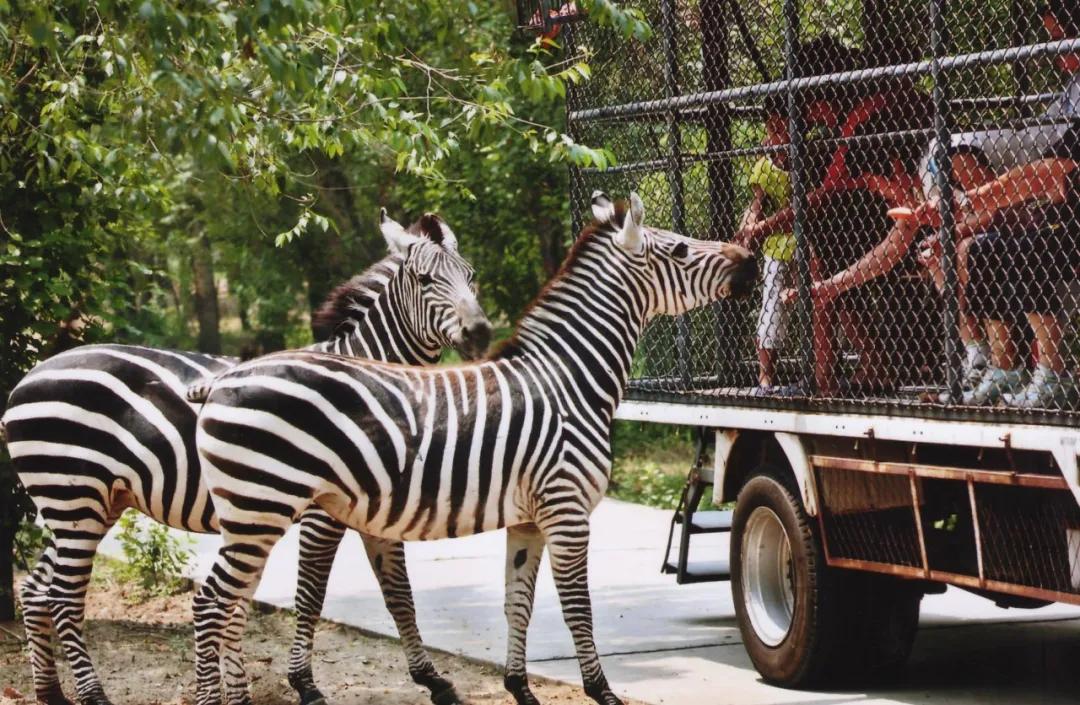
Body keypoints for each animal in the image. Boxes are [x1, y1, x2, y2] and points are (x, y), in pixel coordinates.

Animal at [0, 210, 490, 705]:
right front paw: (304, 683)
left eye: (471, 276)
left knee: (38, 591)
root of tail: (27, 378)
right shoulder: (320, 515)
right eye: (425, 280)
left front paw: (435, 680)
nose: (481, 332)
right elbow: (311, 594)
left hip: (87, 505)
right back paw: (93, 695)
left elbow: (399, 594)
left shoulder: (375, 508)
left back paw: (51, 692)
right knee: (63, 597)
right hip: (74, 498)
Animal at [190, 192, 756, 703]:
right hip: (262, 507)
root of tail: (225, 379)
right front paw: (602, 691)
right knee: (210, 604)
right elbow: (577, 606)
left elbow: (516, 602)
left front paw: (519, 688)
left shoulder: (528, 518)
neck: (570, 379)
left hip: (250, 515)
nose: (751, 259)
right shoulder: (567, 508)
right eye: (679, 248)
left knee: (229, 604)